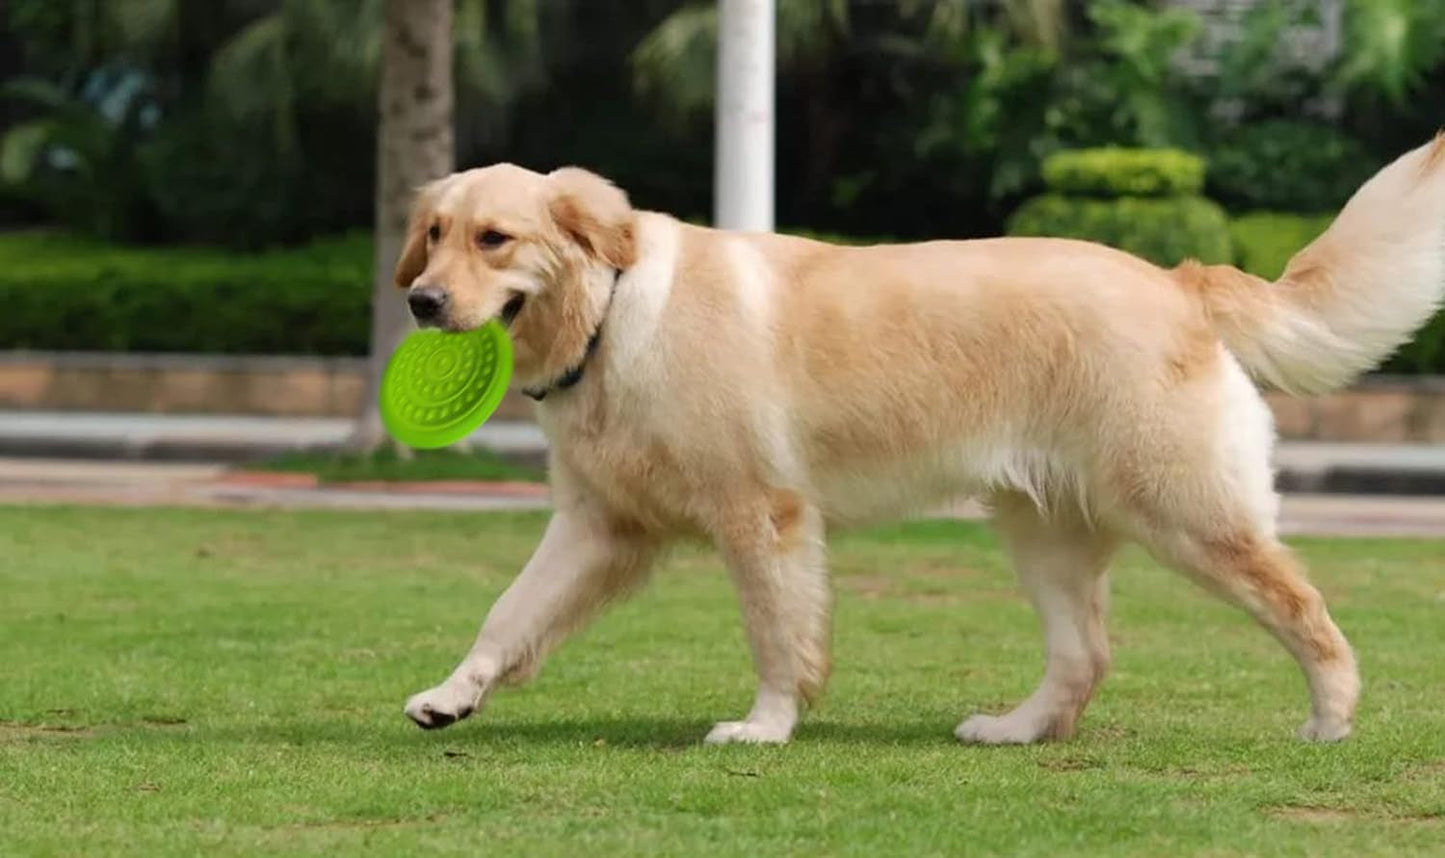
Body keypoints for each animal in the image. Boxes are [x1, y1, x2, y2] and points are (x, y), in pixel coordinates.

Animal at [395, 133, 1445, 739]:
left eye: (493, 239)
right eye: (434, 235)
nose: (419, 301)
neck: (612, 316)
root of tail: (1178, 279)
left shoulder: (761, 518)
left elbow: (775, 636)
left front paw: (765, 728)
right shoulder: (596, 526)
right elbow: (507, 616)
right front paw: (451, 696)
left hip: (1186, 517)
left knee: (1304, 608)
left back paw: (1330, 718)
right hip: (1041, 531)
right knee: (1085, 657)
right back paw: (1015, 730)